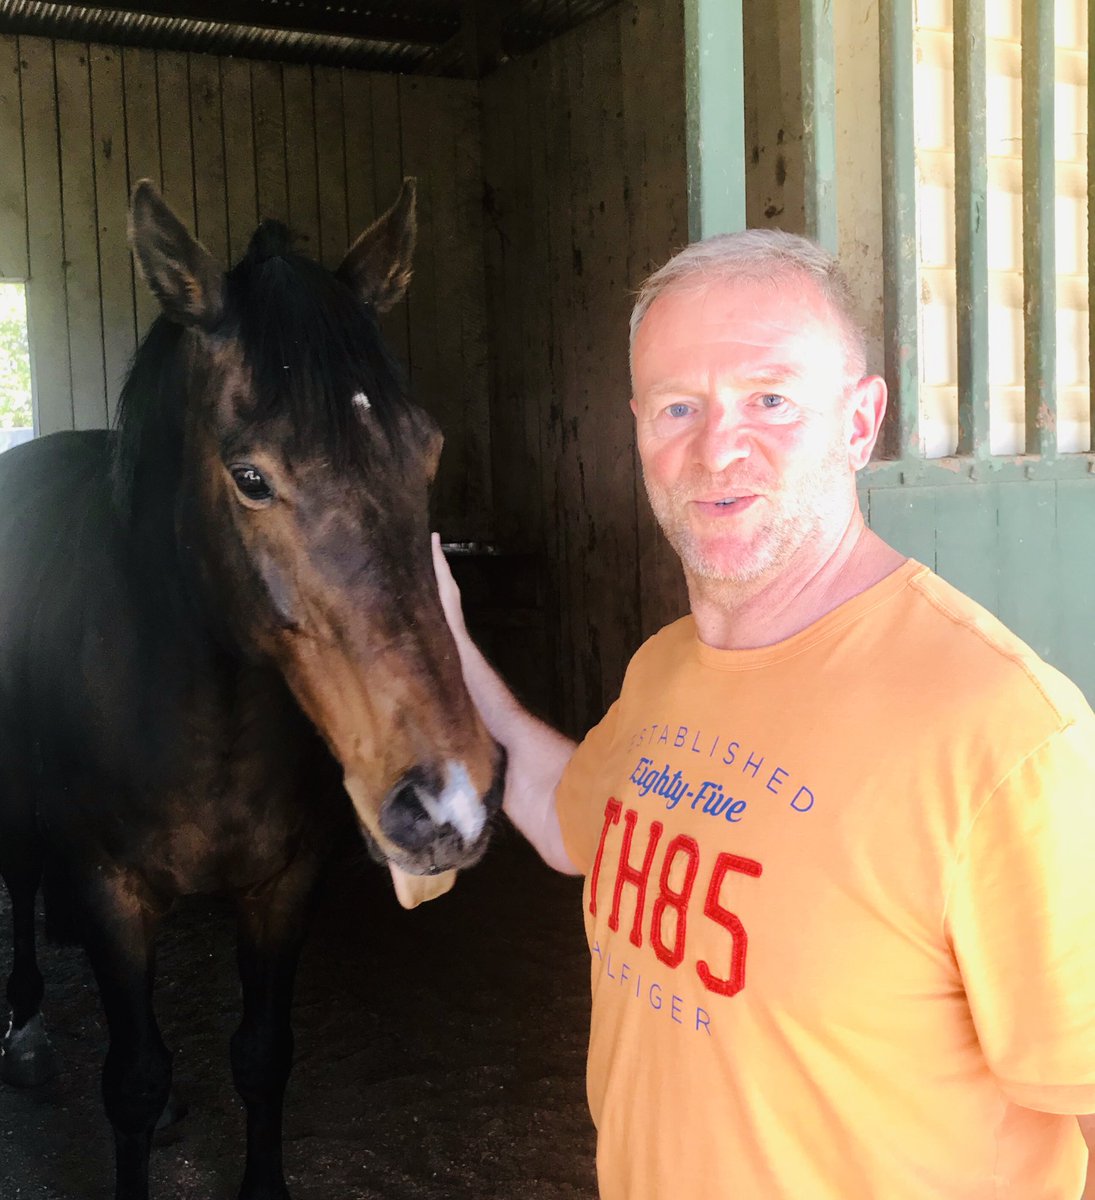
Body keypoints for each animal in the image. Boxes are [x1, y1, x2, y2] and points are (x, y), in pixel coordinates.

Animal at [0, 180, 504, 1200]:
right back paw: (26, 1030)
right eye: (251, 477)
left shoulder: (285, 884)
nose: (449, 801)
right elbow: (132, 1079)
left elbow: (263, 1056)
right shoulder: (113, 893)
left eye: (426, 450)